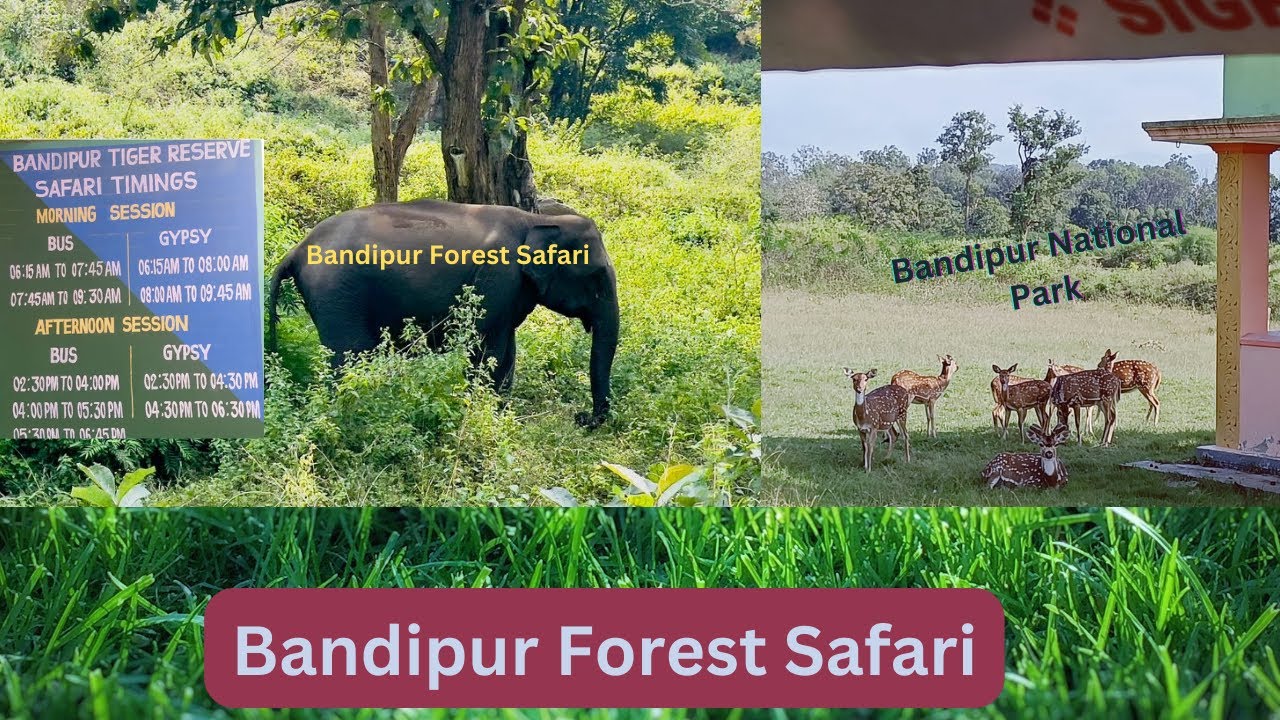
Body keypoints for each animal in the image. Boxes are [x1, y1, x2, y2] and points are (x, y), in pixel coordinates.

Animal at [266, 197, 619, 425]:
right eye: (598, 277)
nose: (582, 417)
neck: (535, 220)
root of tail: (296, 250)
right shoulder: (496, 278)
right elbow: (486, 348)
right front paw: (483, 412)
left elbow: (505, 349)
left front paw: (501, 413)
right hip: (338, 296)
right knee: (351, 356)